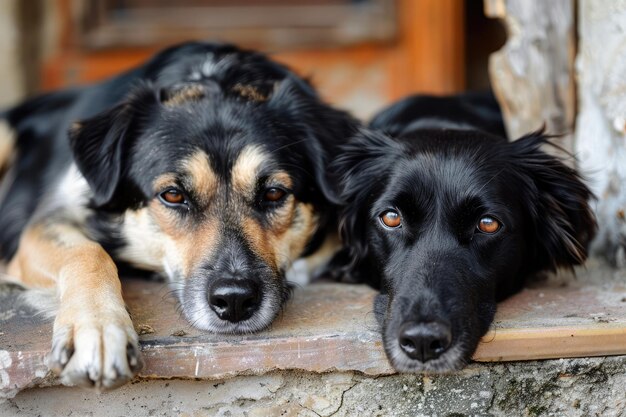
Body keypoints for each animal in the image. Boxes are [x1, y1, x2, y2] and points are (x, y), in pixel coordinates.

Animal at [0, 41, 356, 386]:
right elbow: (87, 253)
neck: (214, 78)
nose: (235, 301)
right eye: (173, 195)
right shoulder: (49, 218)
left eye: (274, 193)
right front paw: (98, 331)